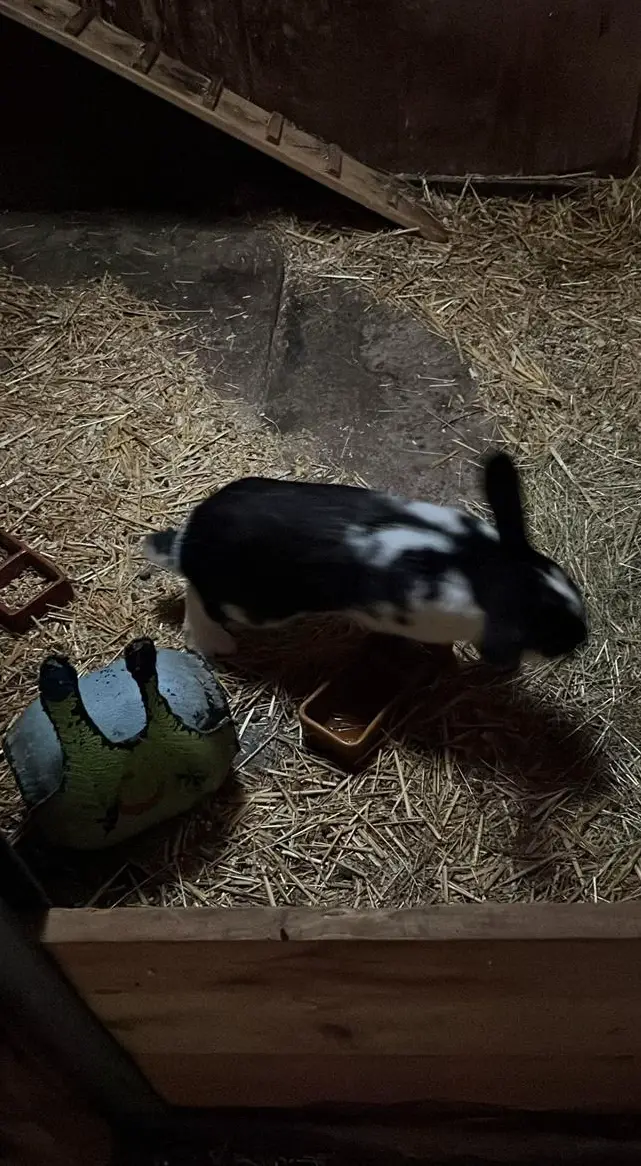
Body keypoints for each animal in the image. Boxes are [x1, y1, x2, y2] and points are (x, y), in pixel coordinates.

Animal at [142, 451, 587, 671]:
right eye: (546, 629)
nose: (580, 639)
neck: (485, 567)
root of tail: (189, 539)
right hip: (254, 605)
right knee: (199, 600)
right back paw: (216, 644)